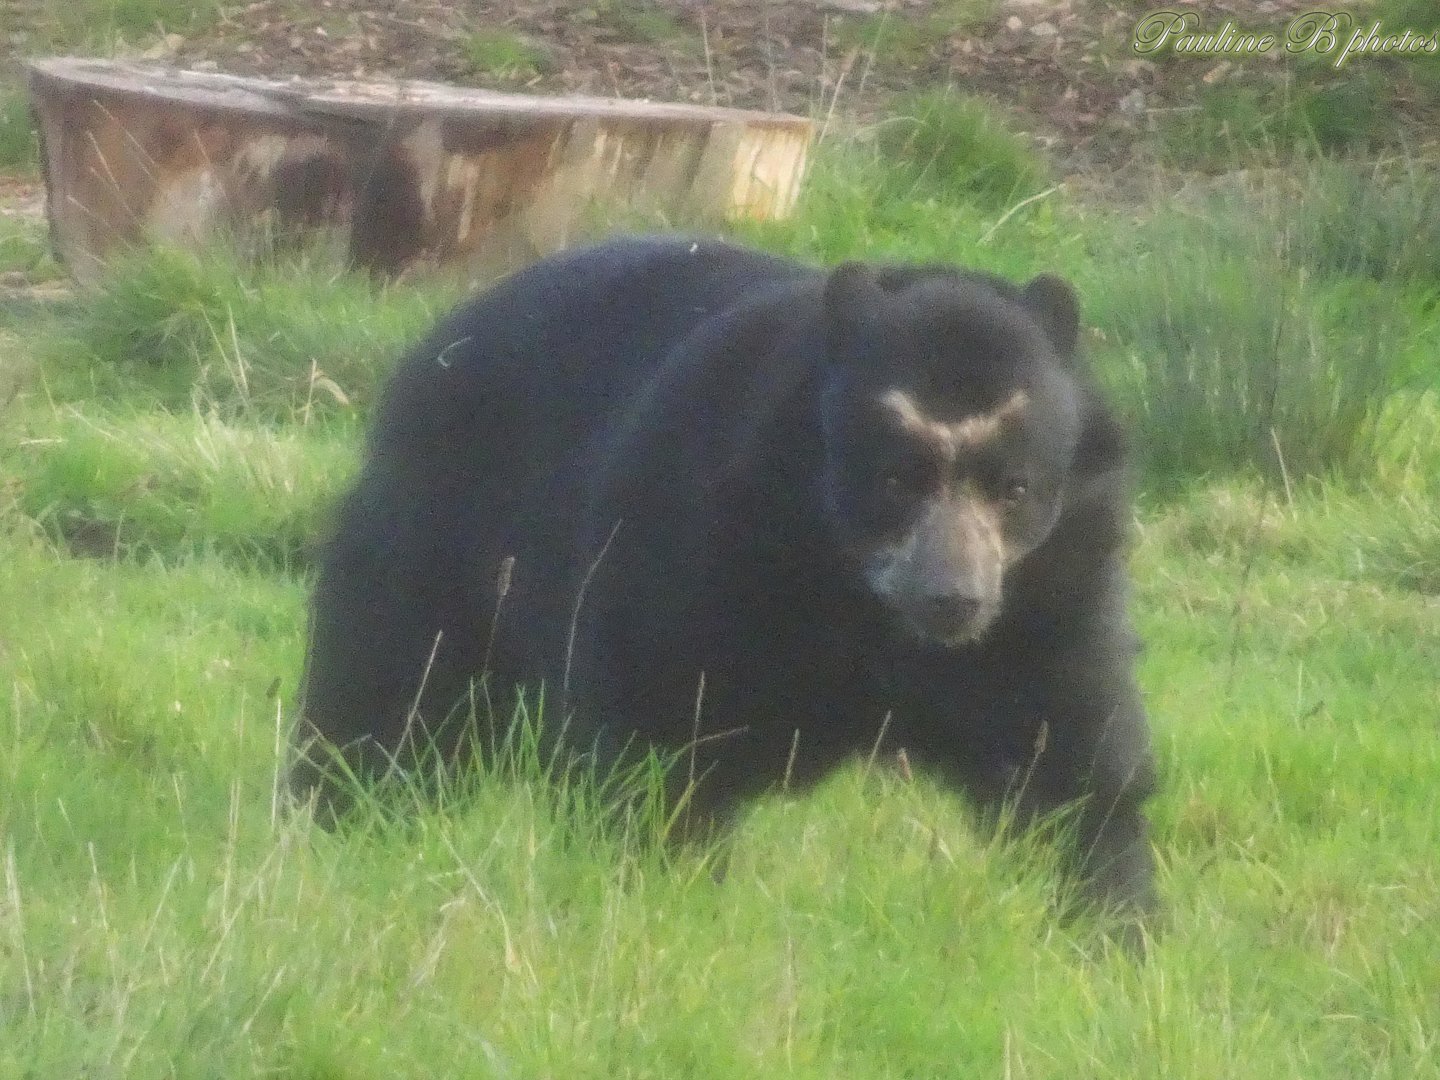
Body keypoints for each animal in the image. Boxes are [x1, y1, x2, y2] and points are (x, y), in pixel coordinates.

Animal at [293, 234, 1157, 923]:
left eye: (1014, 487)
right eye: (893, 480)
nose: (954, 600)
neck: (857, 597)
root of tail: (436, 339)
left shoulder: (1054, 592)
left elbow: (1069, 756)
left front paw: (1112, 929)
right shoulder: (700, 551)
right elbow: (663, 734)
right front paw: (668, 895)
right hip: (438, 535)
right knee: (393, 696)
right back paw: (338, 822)